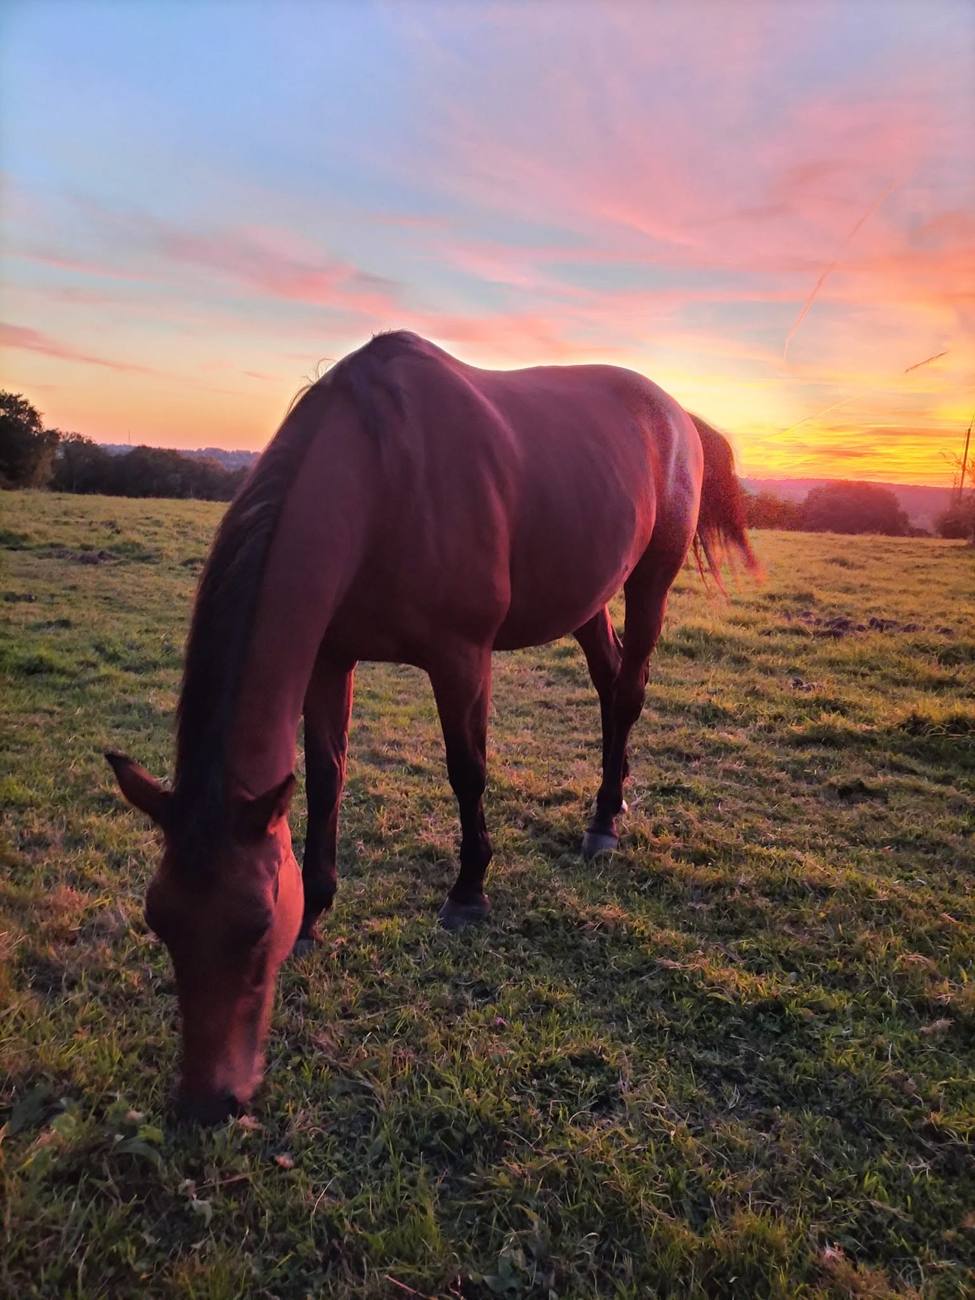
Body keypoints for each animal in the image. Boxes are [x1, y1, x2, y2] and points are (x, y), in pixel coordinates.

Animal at [106, 331, 757, 1123]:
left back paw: (605, 820)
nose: (208, 1102)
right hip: (585, 596)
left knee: (628, 691)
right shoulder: (329, 658)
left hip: (650, 582)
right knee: (608, 688)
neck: (382, 478)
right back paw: (615, 797)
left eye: (256, 922)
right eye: (159, 919)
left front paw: (468, 893)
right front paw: (318, 907)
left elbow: (466, 770)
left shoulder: (460, 657)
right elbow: (326, 777)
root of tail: (677, 414)